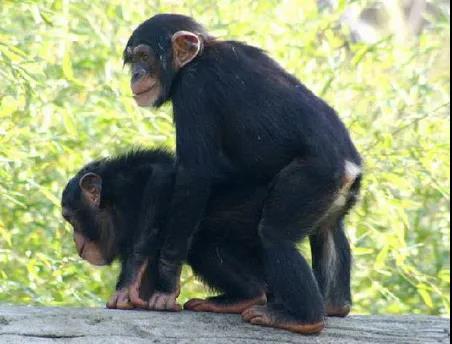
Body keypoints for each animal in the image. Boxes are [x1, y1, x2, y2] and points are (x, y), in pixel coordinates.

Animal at [61, 149, 270, 314]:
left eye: (70, 219)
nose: (74, 239)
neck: (113, 208)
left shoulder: (126, 182)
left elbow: (161, 173)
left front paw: (127, 283)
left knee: (203, 248)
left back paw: (248, 296)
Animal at [123, 14, 364, 334]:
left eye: (144, 57)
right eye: (133, 60)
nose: (136, 74)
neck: (200, 55)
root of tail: (350, 168)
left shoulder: (195, 90)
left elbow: (194, 176)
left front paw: (166, 288)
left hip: (313, 179)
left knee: (275, 235)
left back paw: (302, 318)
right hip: (334, 194)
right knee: (328, 231)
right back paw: (335, 305)